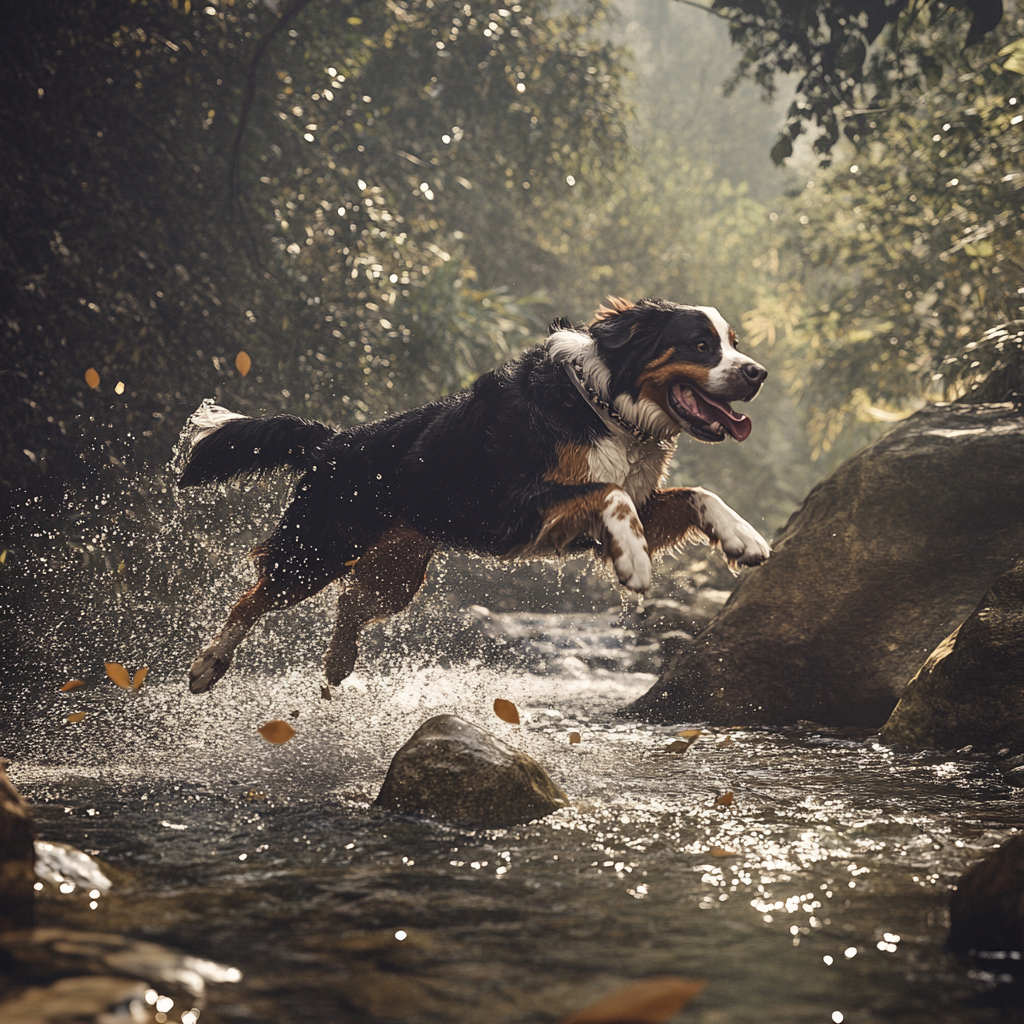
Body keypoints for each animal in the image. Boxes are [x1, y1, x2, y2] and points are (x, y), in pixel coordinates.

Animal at [180, 299, 770, 692]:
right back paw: (208, 665)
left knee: (349, 602)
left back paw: (337, 663)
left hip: (397, 573)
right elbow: (609, 494)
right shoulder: (513, 504)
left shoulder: (596, 517)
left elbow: (697, 493)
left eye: (734, 344)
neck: (604, 406)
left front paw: (742, 537)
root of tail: (333, 440)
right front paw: (636, 563)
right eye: (701, 345)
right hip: (317, 550)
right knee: (250, 599)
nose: (758, 373)